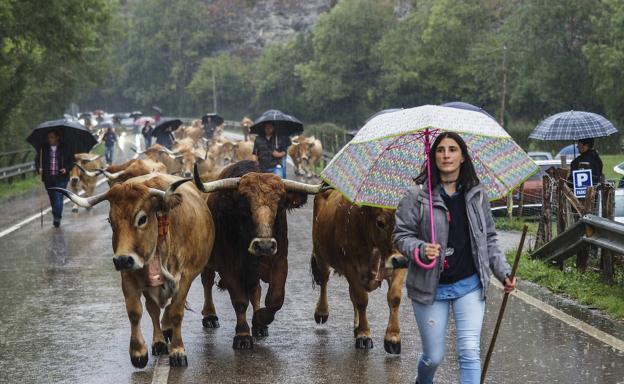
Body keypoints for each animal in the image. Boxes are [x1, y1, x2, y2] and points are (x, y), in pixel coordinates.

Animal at [51, 174, 217, 366]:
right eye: (110, 220)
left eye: (142, 219)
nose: (122, 260)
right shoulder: (128, 276)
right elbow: (135, 312)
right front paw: (138, 352)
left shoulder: (185, 277)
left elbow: (177, 311)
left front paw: (177, 350)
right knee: (153, 309)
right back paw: (159, 341)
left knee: (202, 286)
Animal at [194, 160, 322, 350]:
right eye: (245, 209)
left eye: (279, 207)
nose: (264, 246)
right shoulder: (228, 266)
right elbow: (239, 300)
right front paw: (242, 335)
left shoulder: (280, 261)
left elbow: (275, 298)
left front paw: (260, 320)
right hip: (208, 262)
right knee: (207, 282)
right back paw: (210, 316)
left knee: (255, 290)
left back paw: (259, 326)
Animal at [310, 189, 404, 354]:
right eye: (380, 222)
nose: (398, 259)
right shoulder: (350, 268)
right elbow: (362, 300)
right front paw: (364, 335)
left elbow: (394, 297)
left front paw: (392, 338)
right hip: (321, 255)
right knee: (324, 281)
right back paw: (322, 311)